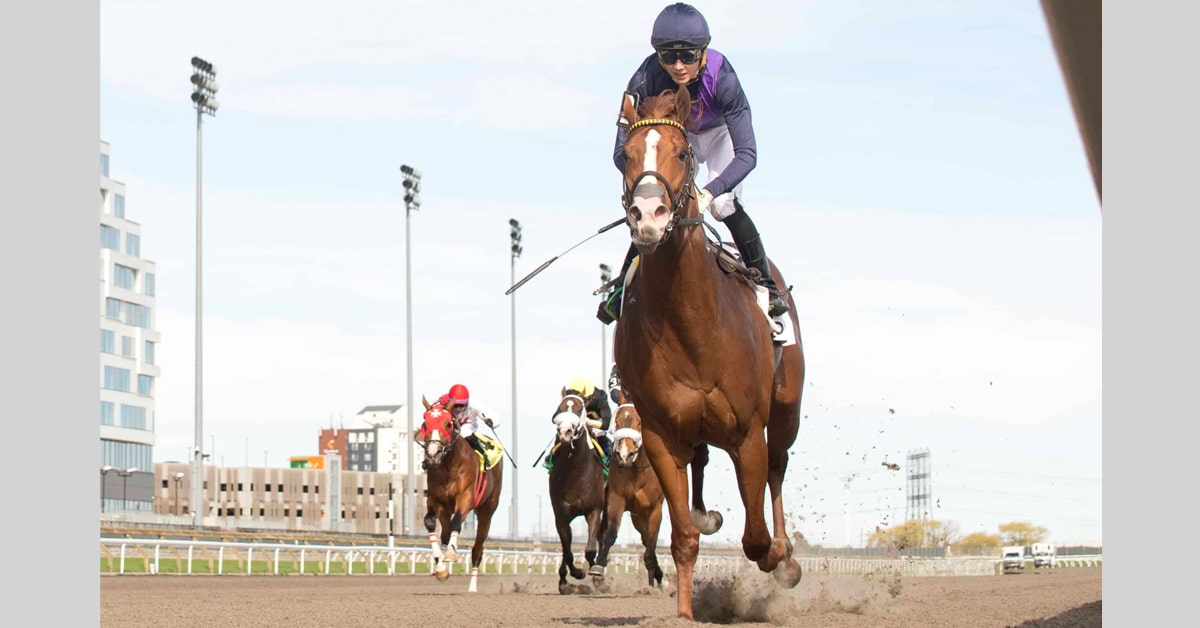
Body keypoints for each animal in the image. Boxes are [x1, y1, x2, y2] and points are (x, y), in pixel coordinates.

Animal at [418, 396, 504, 593]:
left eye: (448, 424)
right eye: (426, 423)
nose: (433, 453)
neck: (449, 465)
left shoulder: (465, 498)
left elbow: (457, 523)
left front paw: (450, 554)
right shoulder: (435, 500)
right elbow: (430, 522)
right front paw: (440, 567)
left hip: (487, 510)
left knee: (477, 549)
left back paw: (472, 587)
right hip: (446, 510)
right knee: (445, 533)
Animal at [545, 387, 608, 594]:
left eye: (580, 409)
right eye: (559, 408)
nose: (565, 432)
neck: (575, 471)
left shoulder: (594, 510)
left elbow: (590, 550)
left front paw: (595, 574)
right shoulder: (561, 515)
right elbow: (567, 550)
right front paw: (573, 575)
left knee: (601, 538)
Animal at [590, 386, 665, 588]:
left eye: (639, 421)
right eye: (617, 421)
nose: (625, 455)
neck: (637, 471)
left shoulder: (655, 509)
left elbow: (652, 542)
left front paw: (654, 580)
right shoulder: (616, 500)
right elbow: (610, 534)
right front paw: (598, 568)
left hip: (641, 515)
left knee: (647, 540)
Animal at [611, 85, 806, 619]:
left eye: (683, 153)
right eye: (624, 156)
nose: (648, 217)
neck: (692, 324)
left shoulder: (747, 432)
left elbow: (756, 538)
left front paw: (779, 556)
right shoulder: (659, 435)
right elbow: (682, 537)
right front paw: (683, 614)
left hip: (786, 410)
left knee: (778, 469)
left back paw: (787, 556)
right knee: (701, 463)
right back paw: (708, 515)